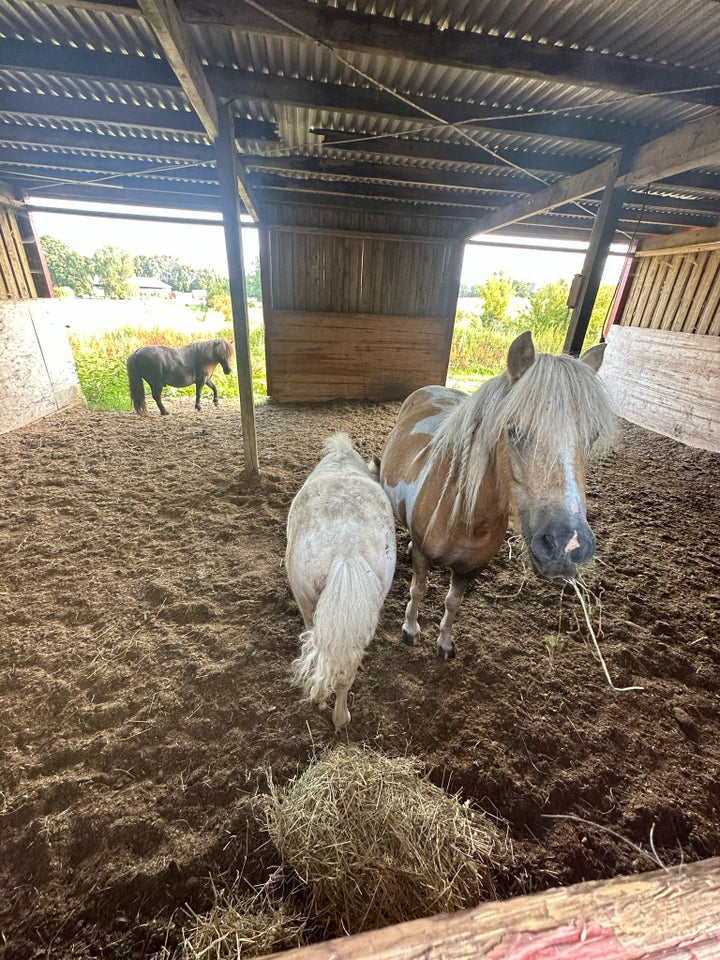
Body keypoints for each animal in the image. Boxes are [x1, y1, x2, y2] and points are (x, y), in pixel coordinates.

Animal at [380, 330, 616, 660]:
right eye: (514, 430)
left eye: (592, 437)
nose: (567, 545)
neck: (464, 516)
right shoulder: (424, 557)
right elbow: (419, 590)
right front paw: (411, 630)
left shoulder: (471, 569)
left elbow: (453, 603)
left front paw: (444, 643)